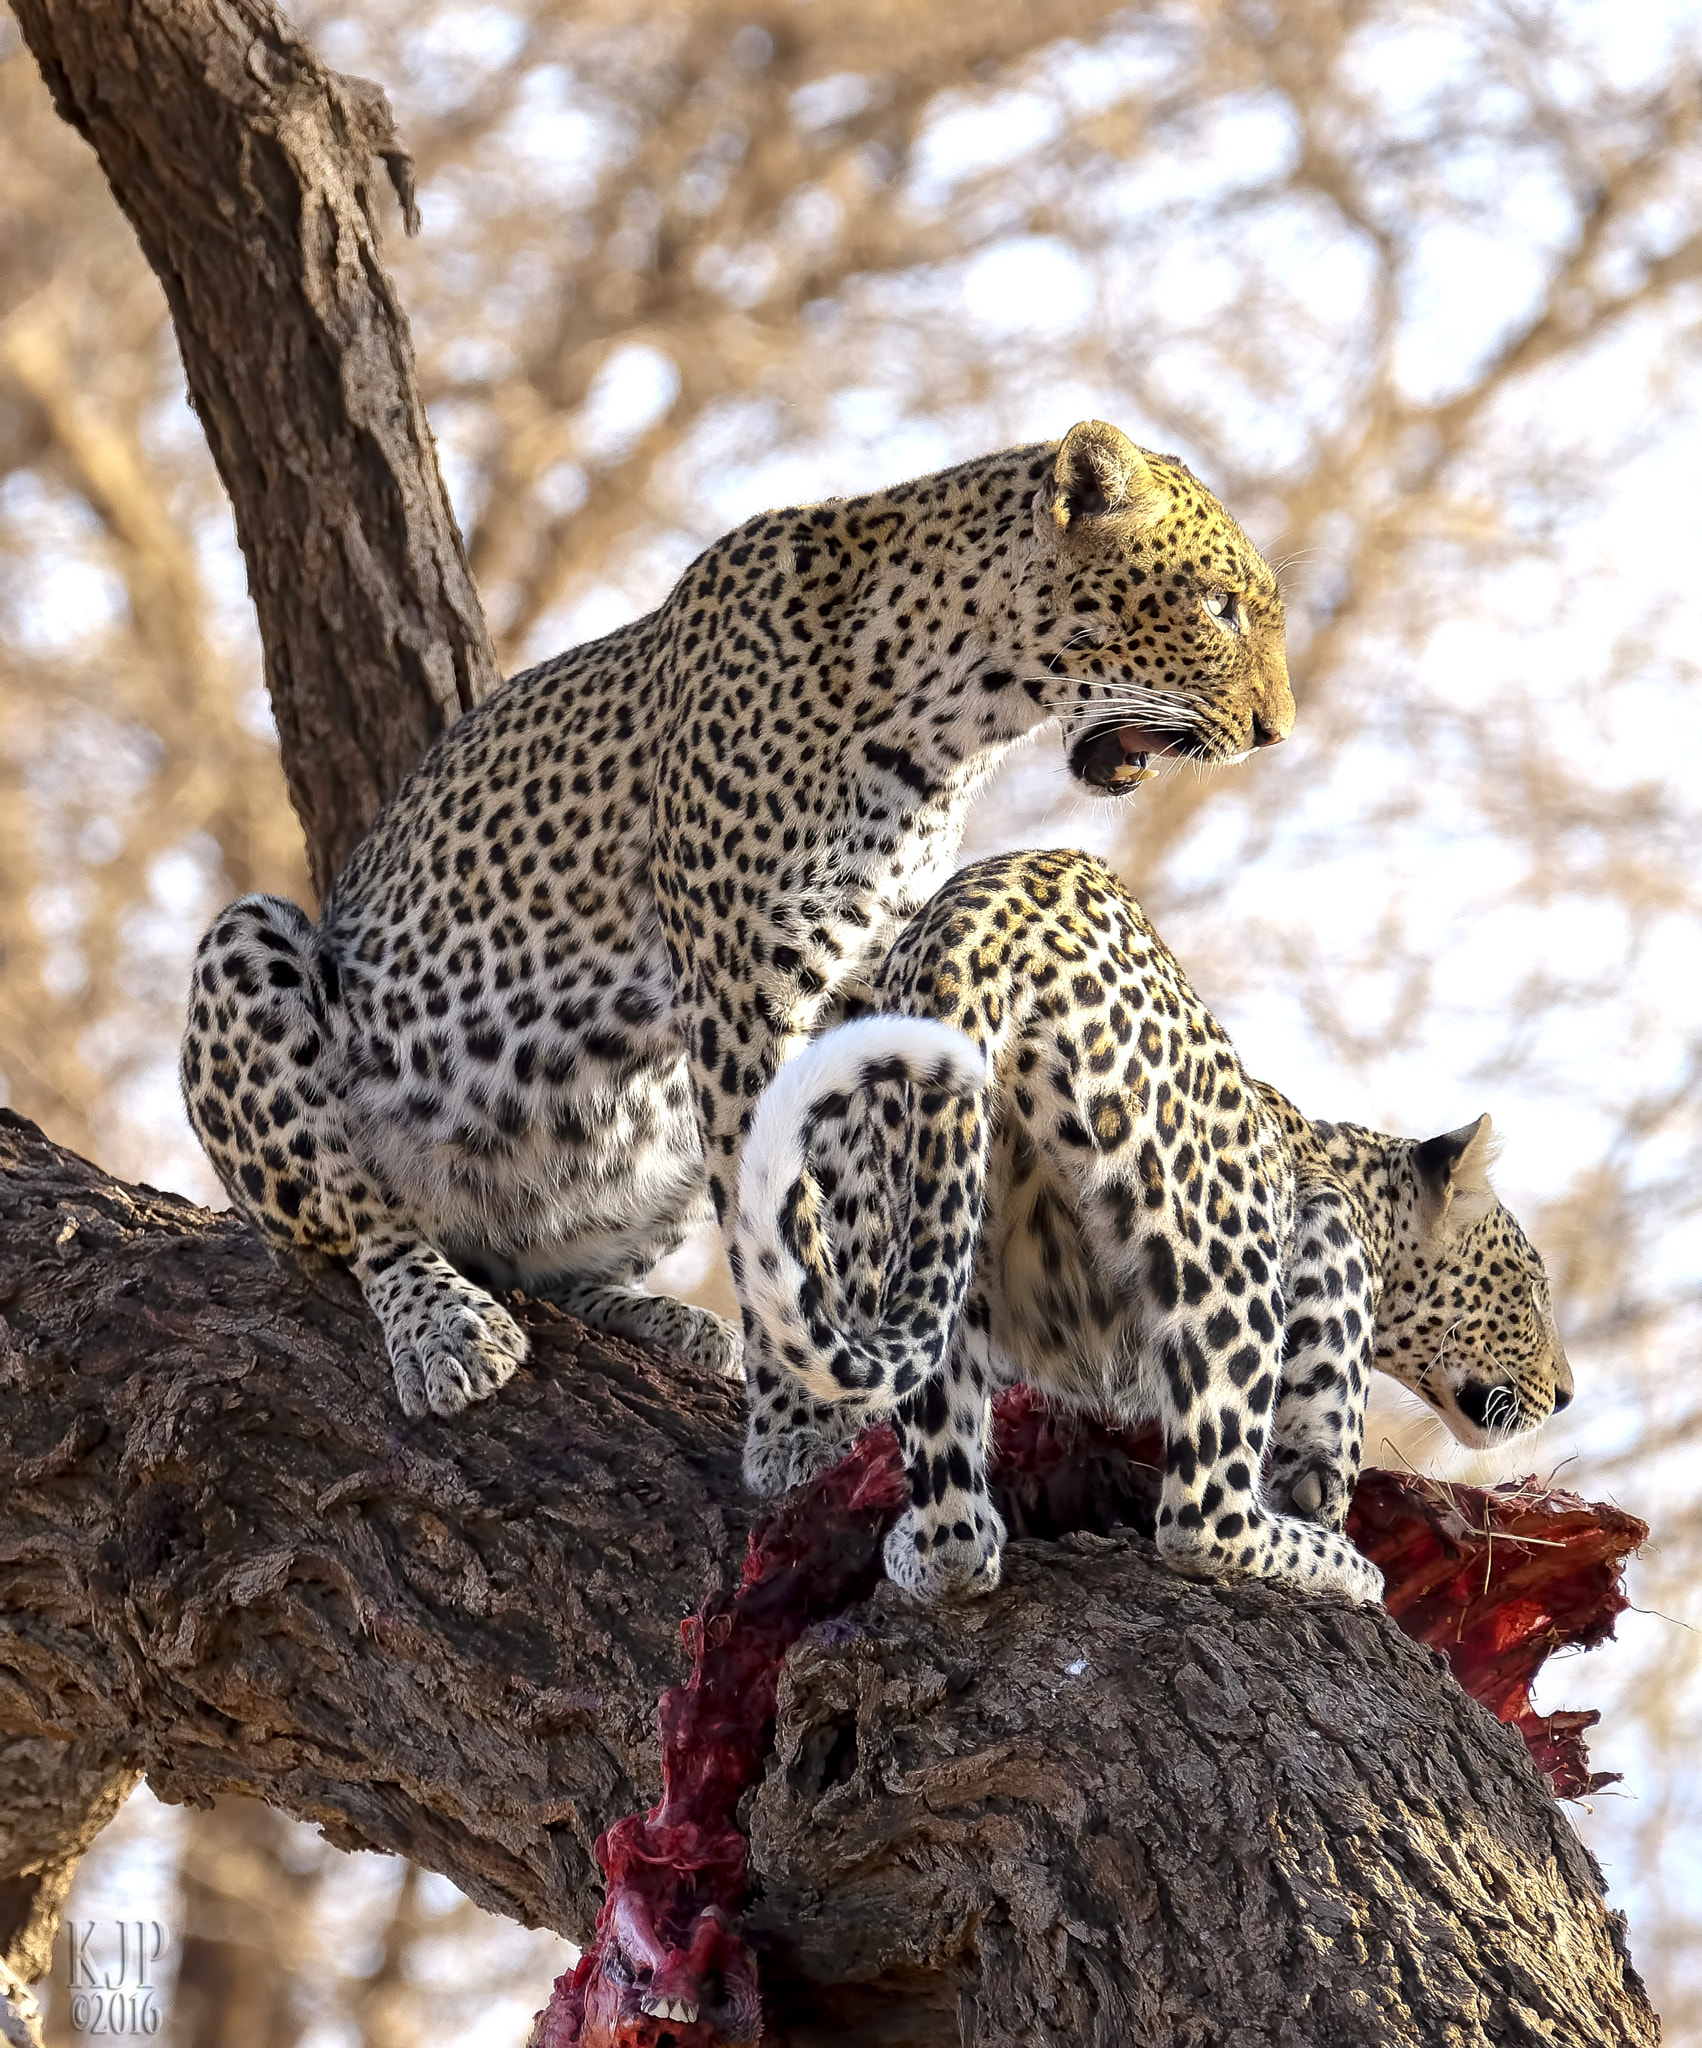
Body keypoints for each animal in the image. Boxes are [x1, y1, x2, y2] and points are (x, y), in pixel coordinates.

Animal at [180, 421, 1294, 1417]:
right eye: (1220, 607)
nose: (1276, 731)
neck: (951, 721)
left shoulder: (862, 987)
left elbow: (851, 1196)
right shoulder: (745, 987)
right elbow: (784, 1209)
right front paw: (810, 1408)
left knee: (550, 1269)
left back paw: (671, 1323)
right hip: (250, 958)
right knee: (361, 1222)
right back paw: (445, 1326)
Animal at [733, 843, 1572, 1597]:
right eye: (1532, 1292)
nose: (1564, 1395)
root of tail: (983, 918)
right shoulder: (1331, 1240)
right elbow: (1323, 1457)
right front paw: (1326, 1512)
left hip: (933, 1214)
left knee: (956, 1532)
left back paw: (926, 1552)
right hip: (1221, 1237)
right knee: (1205, 1516)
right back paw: (1342, 1567)